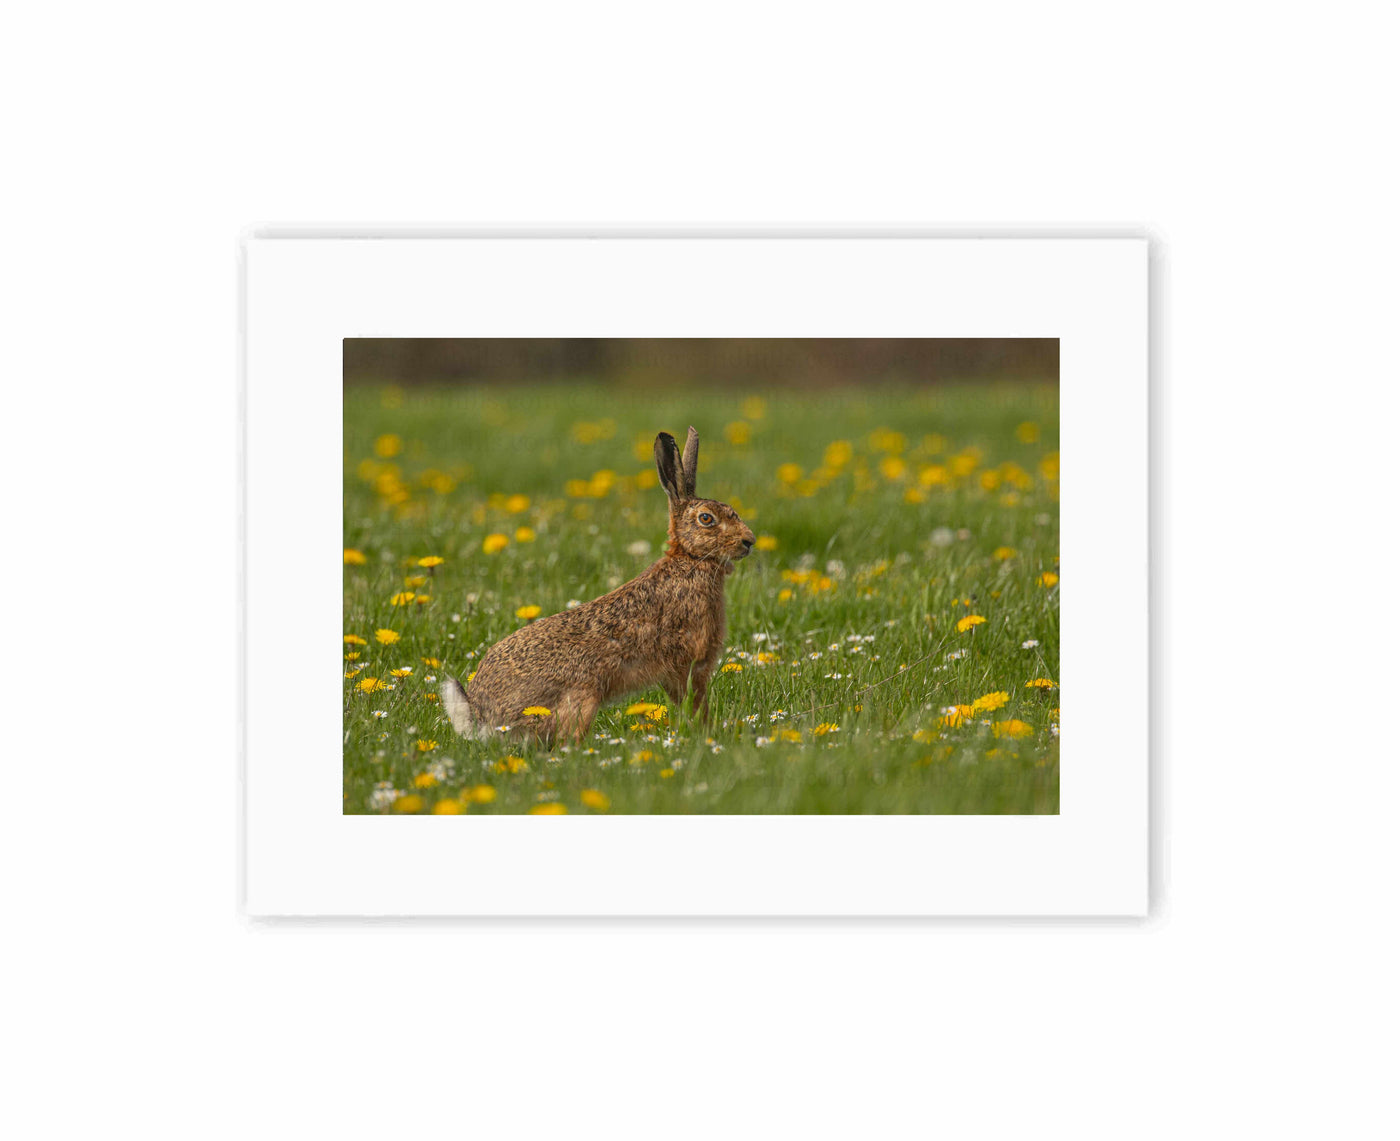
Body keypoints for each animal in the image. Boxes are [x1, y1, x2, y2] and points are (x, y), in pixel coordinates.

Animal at [439, 426, 756, 744]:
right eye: (706, 519)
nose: (749, 541)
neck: (690, 559)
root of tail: (481, 719)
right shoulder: (687, 664)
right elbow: (694, 704)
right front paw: (706, 733)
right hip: (582, 697)